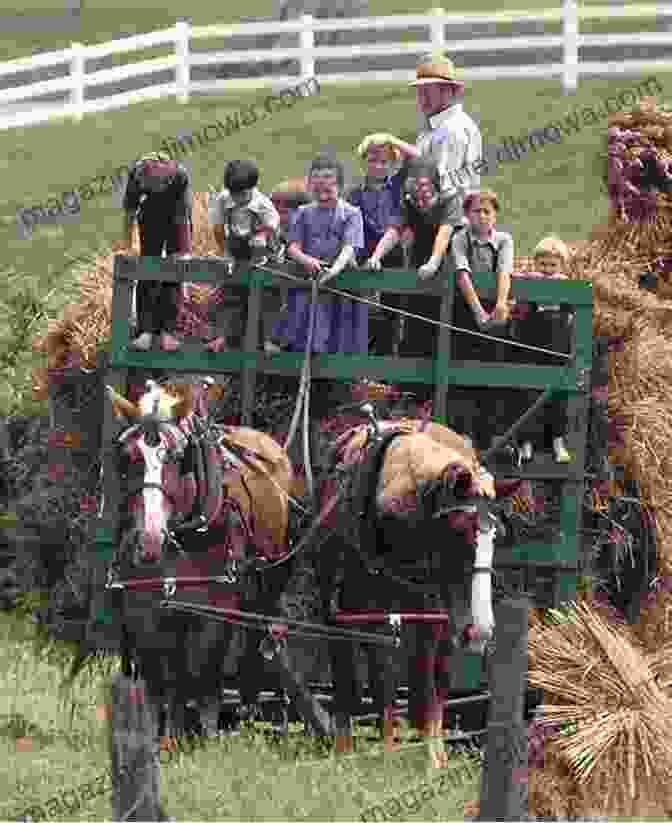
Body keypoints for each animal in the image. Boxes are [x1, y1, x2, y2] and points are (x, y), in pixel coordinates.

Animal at [103, 380, 294, 740]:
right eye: (128, 457)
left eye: (177, 457)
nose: (149, 539)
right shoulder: (146, 611)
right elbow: (159, 682)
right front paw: (160, 736)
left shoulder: (213, 612)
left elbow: (204, 677)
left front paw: (203, 734)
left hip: (261, 592)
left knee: (251, 643)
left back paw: (246, 711)